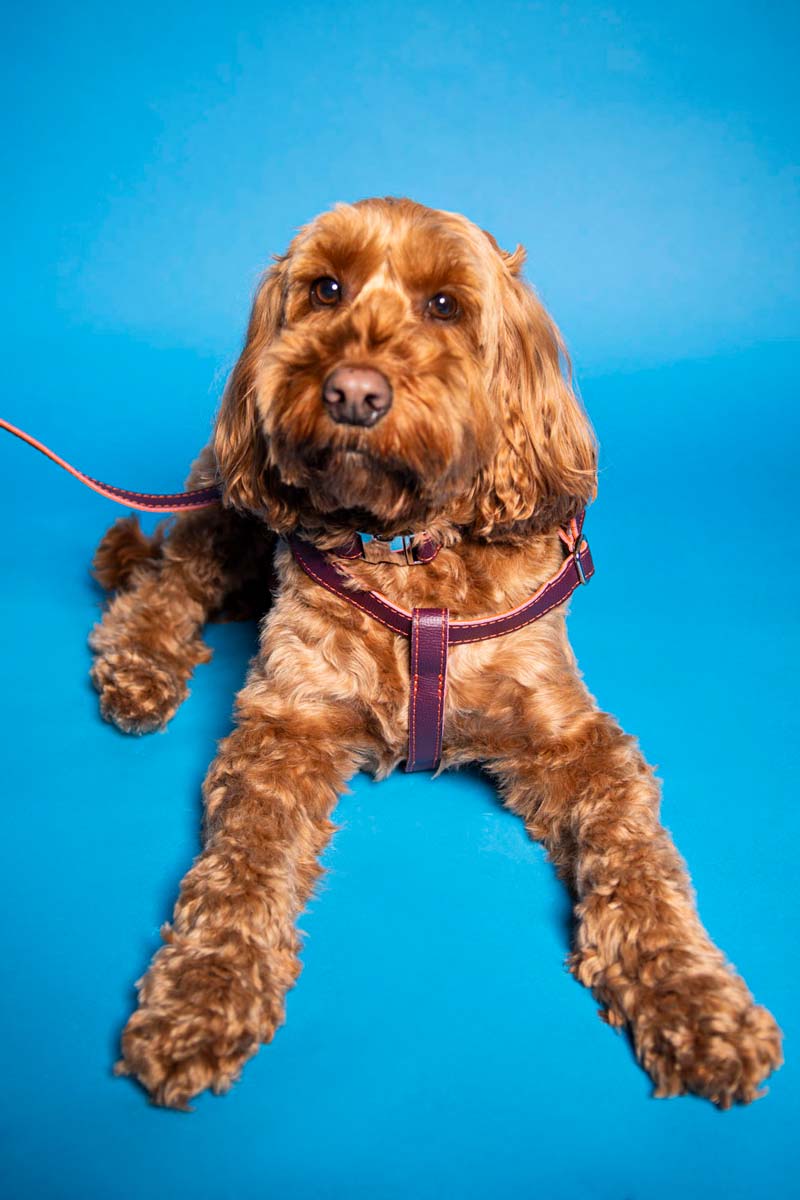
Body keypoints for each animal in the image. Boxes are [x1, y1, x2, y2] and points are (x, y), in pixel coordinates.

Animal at [89, 194, 782, 1104]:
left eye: (446, 305)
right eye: (325, 288)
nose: (353, 391)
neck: (411, 549)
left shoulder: (574, 740)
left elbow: (639, 862)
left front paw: (697, 998)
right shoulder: (288, 723)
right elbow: (241, 863)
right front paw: (202, 993)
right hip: (229, 504)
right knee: (172, 575)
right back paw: (140, 663)